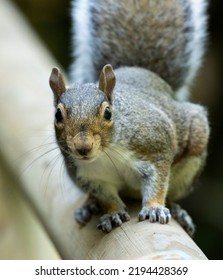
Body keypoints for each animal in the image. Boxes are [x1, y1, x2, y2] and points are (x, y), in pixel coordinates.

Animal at [48, 0, 209, 234]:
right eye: (57, 115)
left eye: (108, 112)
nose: (82, 148)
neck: (106, 153)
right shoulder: (90, 176)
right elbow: (106, 198)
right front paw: (112, 213)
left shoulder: (156, 145)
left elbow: (158, 181)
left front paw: (154, 207)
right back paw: (89, 206)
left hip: (194, 145)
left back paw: (176, 209)